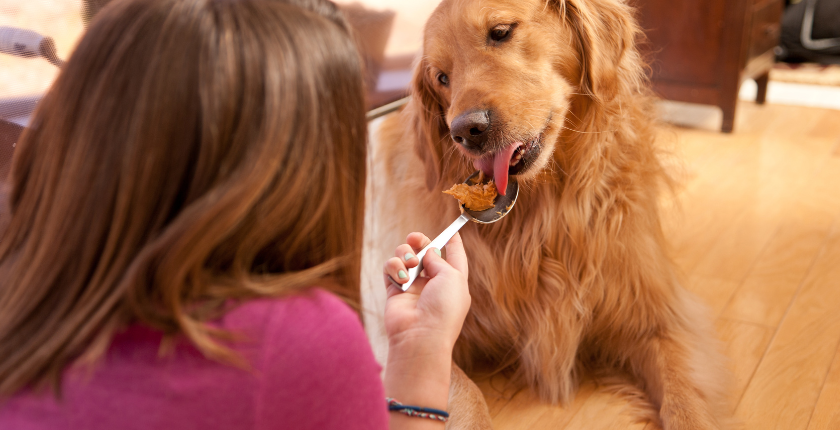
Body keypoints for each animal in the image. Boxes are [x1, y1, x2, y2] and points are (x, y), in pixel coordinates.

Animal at [360, 0, 728, 426]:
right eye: (441, 78)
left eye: (501, 32)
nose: (466, 131)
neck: (542, 214)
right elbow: (464, 395)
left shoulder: (660, 320)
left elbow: (686, 399)